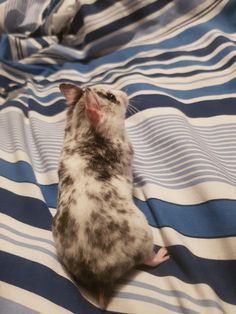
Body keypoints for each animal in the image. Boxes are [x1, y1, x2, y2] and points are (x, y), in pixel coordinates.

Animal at [52, 84, 170, 310]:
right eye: (111, 97)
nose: (125, 93)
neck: (82, 131)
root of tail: (100, 280)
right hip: (145, 237)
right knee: (146, 260)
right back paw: (162, 255)